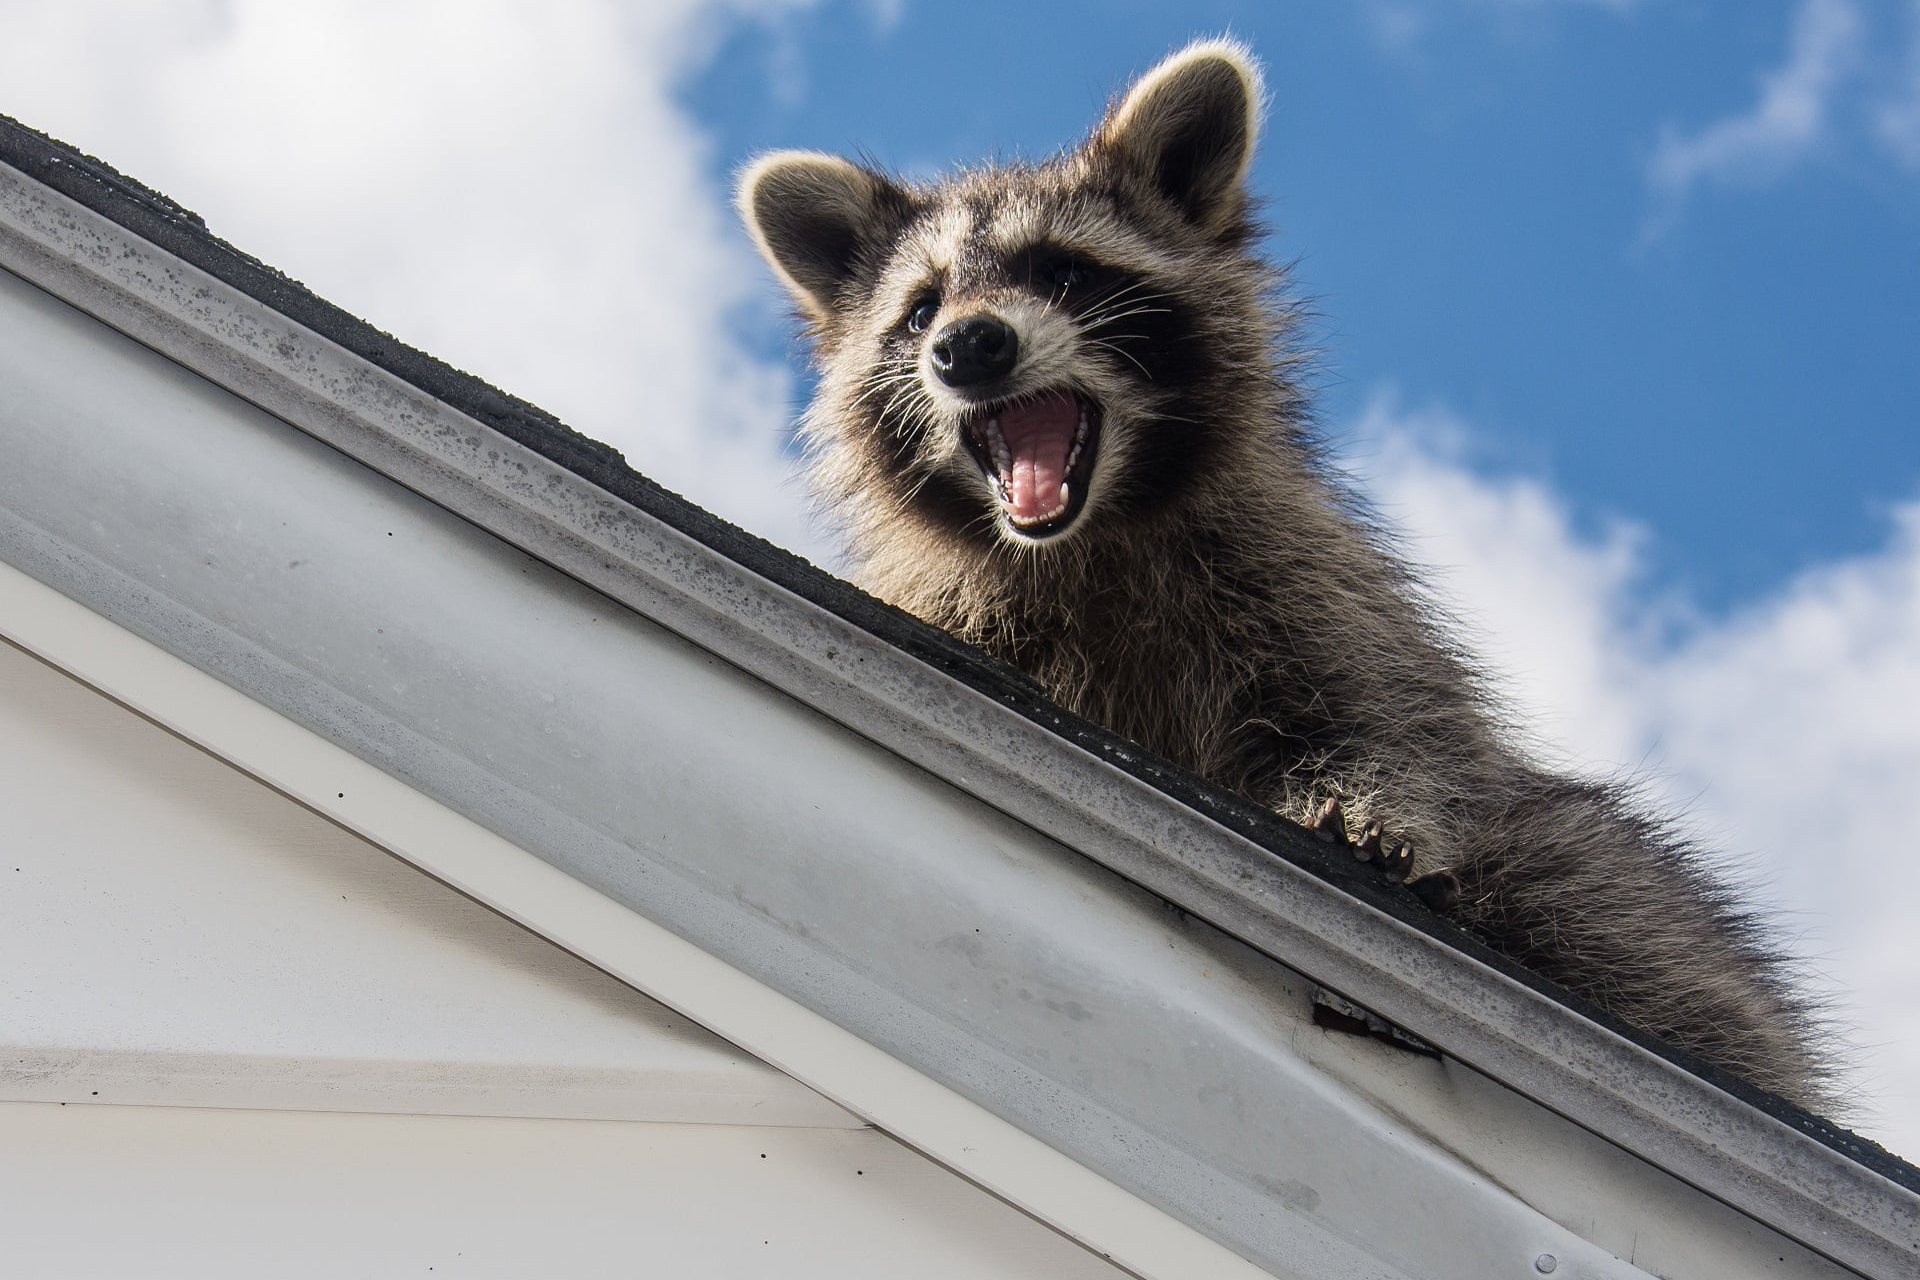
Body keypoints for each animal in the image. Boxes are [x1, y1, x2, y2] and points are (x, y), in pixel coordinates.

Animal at [738, 40, 1834, 1109]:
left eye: (1063, 270)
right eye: (921, 307)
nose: (968, 345)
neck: (1091, 535)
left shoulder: (1310, 582)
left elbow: (1391, 718)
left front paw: (1370, 805)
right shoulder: (955, 602)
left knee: (1606, 890)